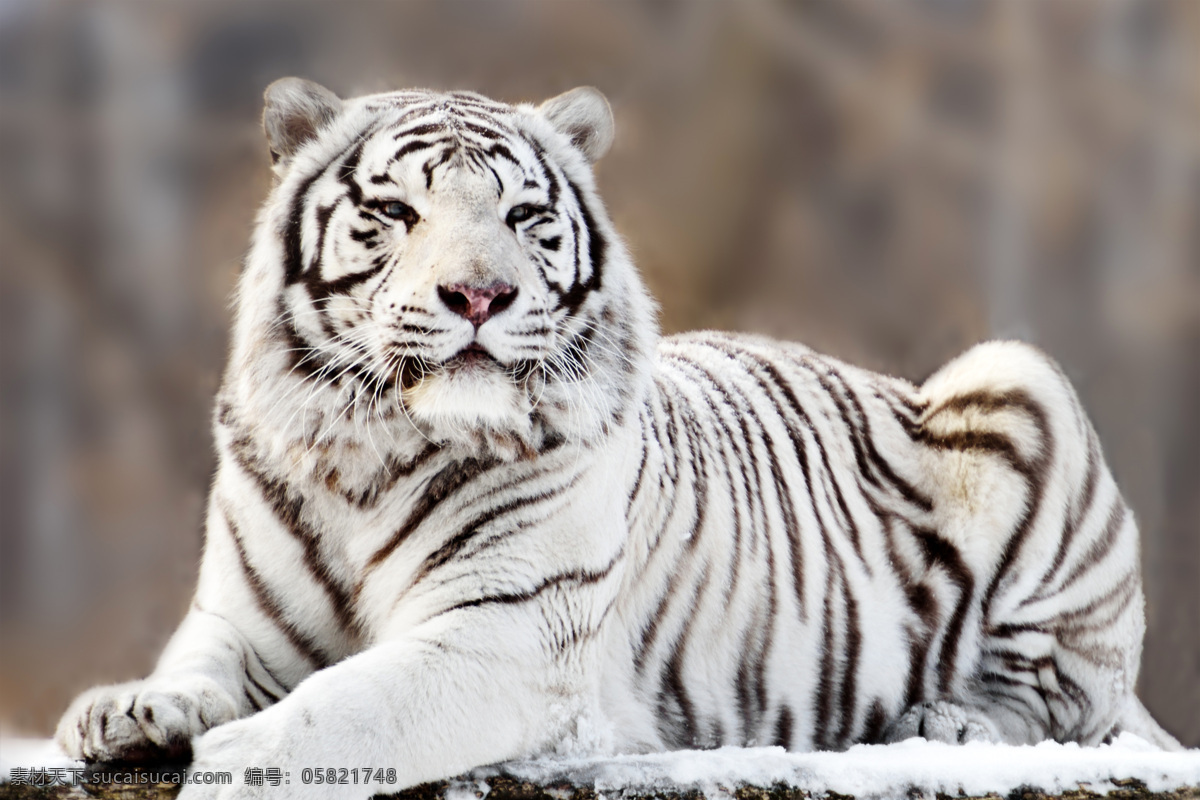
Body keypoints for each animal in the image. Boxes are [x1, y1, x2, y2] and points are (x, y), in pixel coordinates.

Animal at [55, 78, 1181, 800]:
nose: (479, 294)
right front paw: (125, 710)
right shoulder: (243, 619)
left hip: (1016, 378)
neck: (367, 454)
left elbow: (341, 709)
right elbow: (196, 665)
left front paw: (232, 769)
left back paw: (945, 720)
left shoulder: (506, 636)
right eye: (396, 211)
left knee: (1065, 697)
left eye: (523, 215)